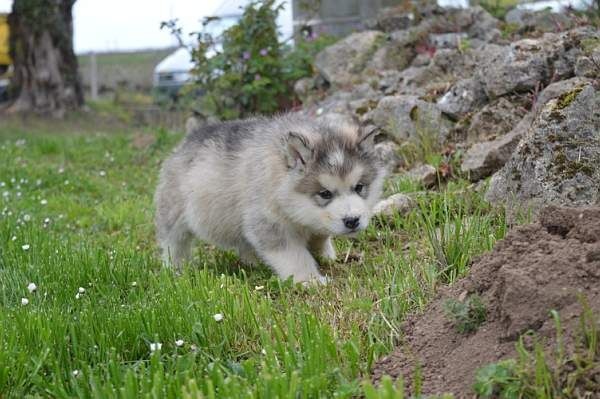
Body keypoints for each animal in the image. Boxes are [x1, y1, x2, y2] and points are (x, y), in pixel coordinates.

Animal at [155, 113, 386, 284]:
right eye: (325, 193)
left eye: (359, 187)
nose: (352, 221)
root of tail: (190, 138)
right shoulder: (269, 223)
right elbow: (294, 255)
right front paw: (309, 279)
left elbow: (320, 236)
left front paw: (326, 255)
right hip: (174, 214)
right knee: (173, 243)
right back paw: (175, 269)